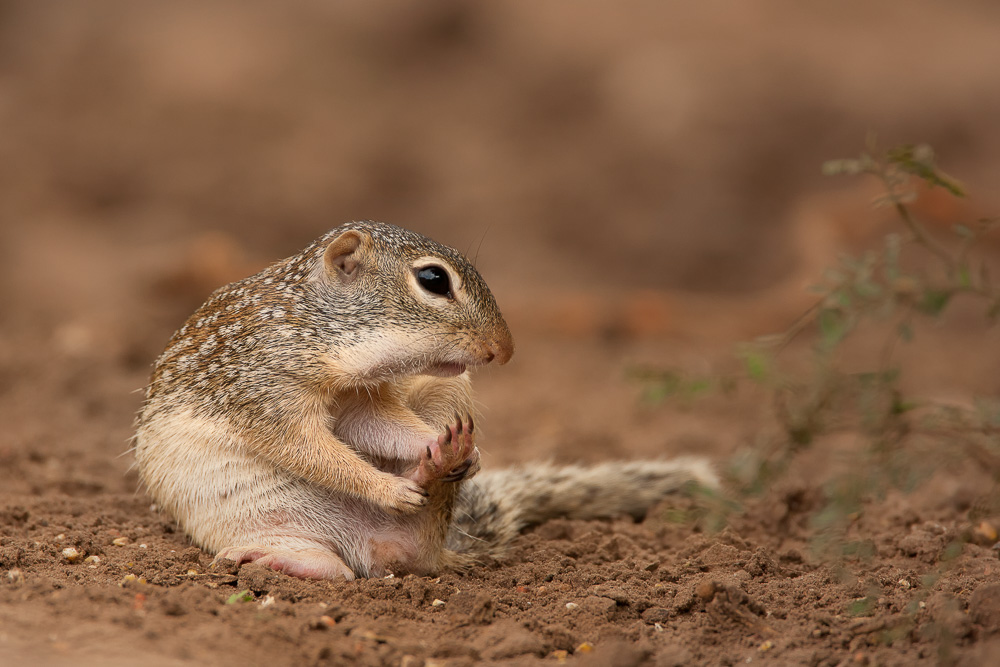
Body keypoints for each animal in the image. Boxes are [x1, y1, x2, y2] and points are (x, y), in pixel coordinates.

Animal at [134, 221, 718, 580]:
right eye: (434, 279)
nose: (506, 351)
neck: (323, 336)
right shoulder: (265, 387)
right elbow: (309, 449)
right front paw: (385, 487)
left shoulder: (362, 398)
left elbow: (377, 428)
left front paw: (448, 450)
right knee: (336, 568)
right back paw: (275, 558)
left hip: (450, 392)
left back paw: (441, 462)